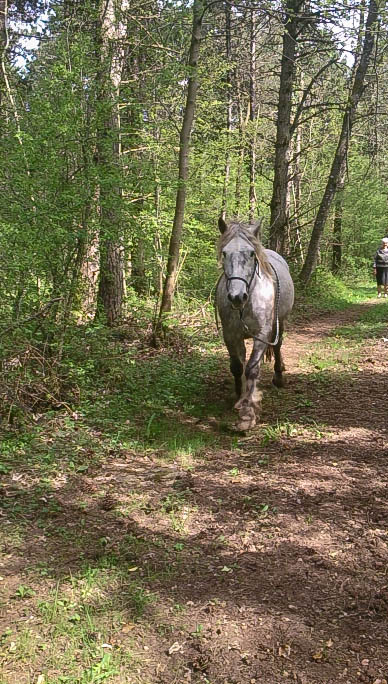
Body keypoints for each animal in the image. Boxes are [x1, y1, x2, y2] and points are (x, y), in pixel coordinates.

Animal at [215, 216, 294, 430]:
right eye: (224, 253)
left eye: (251, 253)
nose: (236, 296)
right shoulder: (230, 334)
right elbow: (237, 366)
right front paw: (239, 396)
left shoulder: (262, 334)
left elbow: (252, 368)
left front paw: (248, 412)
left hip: (280, 322)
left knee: (278, 346)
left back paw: (278, 376)